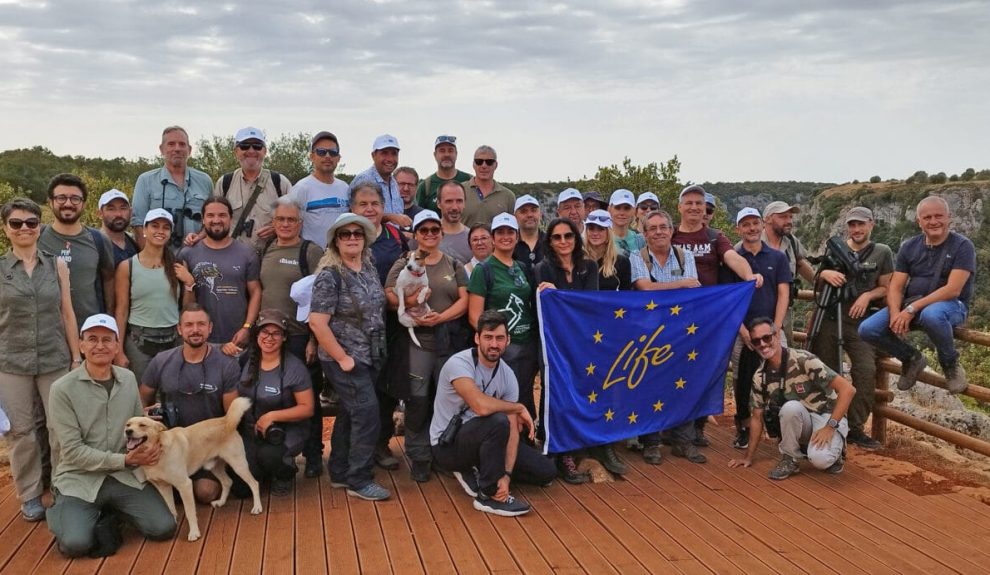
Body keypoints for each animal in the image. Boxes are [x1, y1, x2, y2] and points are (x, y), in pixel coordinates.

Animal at [123, 398, 264, 544]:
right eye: (128, 424)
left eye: (142, 425)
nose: (128, 431)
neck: (160, 450)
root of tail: (225, 420)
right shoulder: (163, 487)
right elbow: (171, 508)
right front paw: (174, 523)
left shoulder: (184, 485)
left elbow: (190, 512)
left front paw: (194, 533)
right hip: (215, 467)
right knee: (227, 482)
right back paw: (221, 502)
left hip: (238, 464)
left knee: (254, 483)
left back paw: (257, 507)